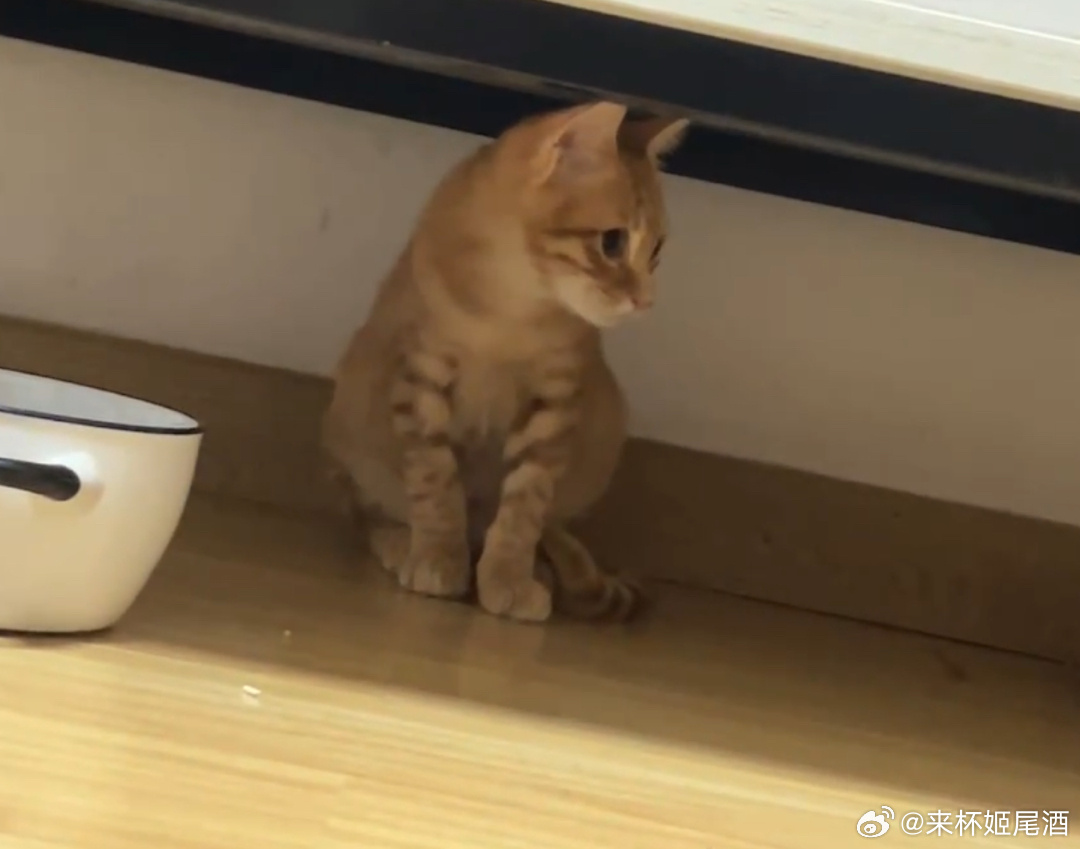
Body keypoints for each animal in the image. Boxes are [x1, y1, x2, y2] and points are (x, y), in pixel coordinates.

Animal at [322, 100, 688, 623]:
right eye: (613, 242)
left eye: (656, 250)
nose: (646, 301)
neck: (513, 310)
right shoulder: (420, 379)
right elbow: (434, 483)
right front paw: (438, 556)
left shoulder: (555, 401)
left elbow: (525, 506)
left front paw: (508, 577)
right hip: (353, 413)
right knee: (365, 510)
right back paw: (399, 541)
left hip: (605, 426)